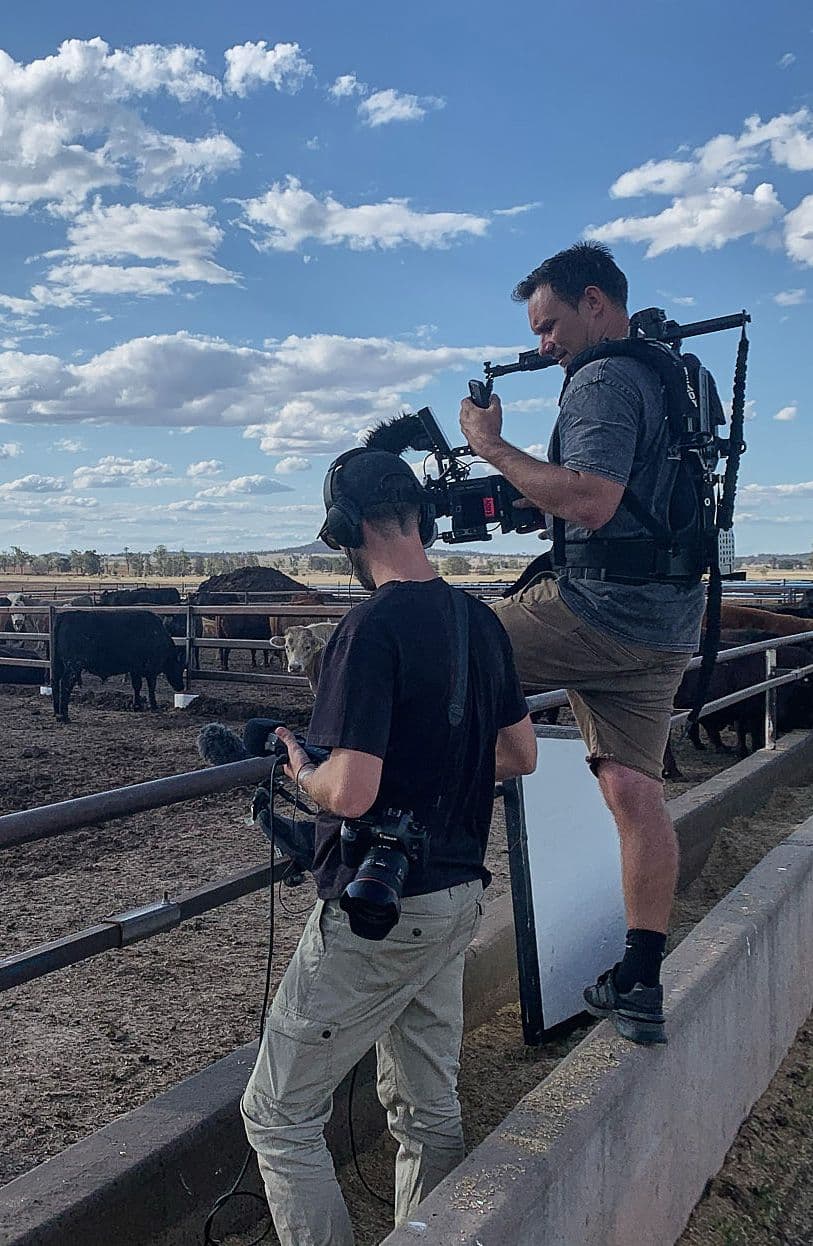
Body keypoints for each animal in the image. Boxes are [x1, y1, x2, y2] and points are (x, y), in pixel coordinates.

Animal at [53, 610, 187, 722]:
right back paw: (64, 716)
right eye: (180, 669)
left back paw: (57, 714)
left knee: (55, 683)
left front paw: (137, 706)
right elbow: (151, 687)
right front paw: (154, 706)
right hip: (73, 666)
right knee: (65, 685)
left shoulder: (135, 669)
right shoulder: (151, 670)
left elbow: (137, 686)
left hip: (59, 665)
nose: (181, 687)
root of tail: (65, 615)